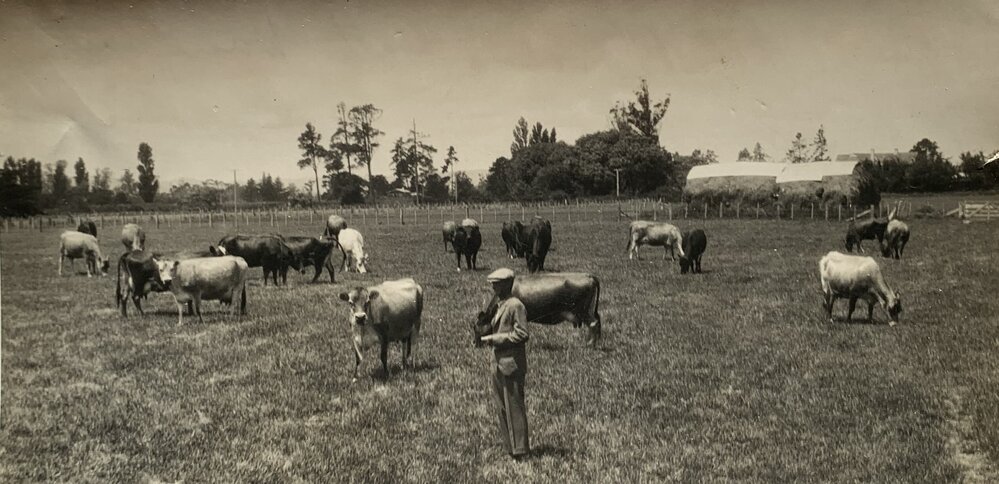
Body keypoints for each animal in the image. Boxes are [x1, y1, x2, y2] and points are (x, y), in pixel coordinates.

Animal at [473, 272, 602, 346]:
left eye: (475, 327)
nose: (474, 343)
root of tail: (588, 275)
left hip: (582, 310)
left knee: (593, 323)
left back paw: (590, 344)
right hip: (590, 310)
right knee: (598, 320)